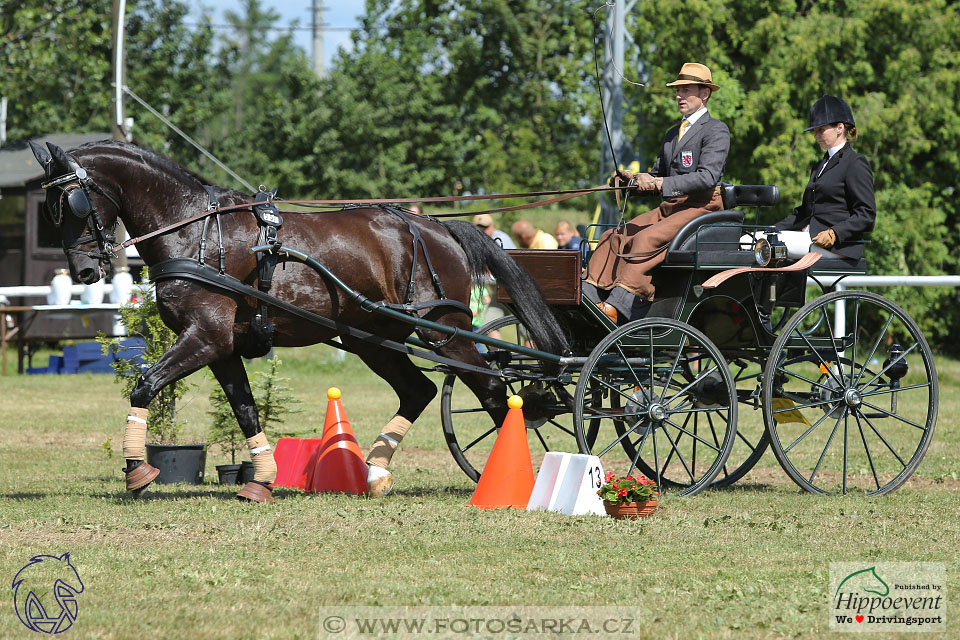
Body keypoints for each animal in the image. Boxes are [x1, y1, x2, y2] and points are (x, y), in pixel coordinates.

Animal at [31, 139, 568, 500]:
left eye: (71, 204)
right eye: (52, 210)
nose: (83, 272)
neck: (197, 233)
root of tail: (437, 227)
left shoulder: (205, 337)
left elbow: (144, 386)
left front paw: (137, 473)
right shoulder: (221, 346)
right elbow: (245, 408)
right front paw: (262, 482)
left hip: (443, 331)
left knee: (496, 389)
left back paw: (509, 479)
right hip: (372, 339)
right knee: (421, 390)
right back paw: (375, 473)